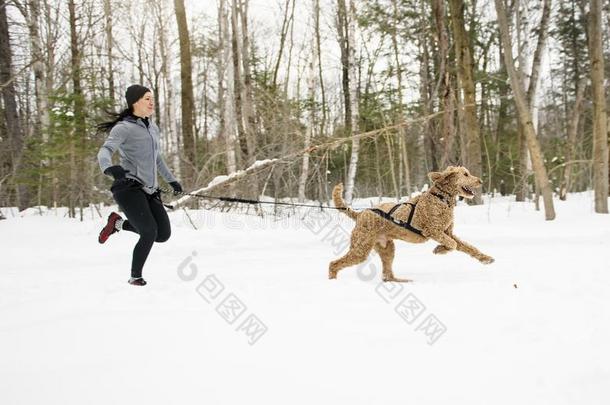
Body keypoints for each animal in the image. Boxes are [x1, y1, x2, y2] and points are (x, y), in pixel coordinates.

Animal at [328, 164, 494, 280]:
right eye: (465, 174)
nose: (480, 181)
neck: (441, 197)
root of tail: (360, 214)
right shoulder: (433, 231)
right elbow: (452, 244)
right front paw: (439, 249)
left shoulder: (448, 232)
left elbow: (468, 247)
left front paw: (485, 258)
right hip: (361, 248)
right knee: (334, 264)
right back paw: (333, 281)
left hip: (387, 248)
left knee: (387, 275)